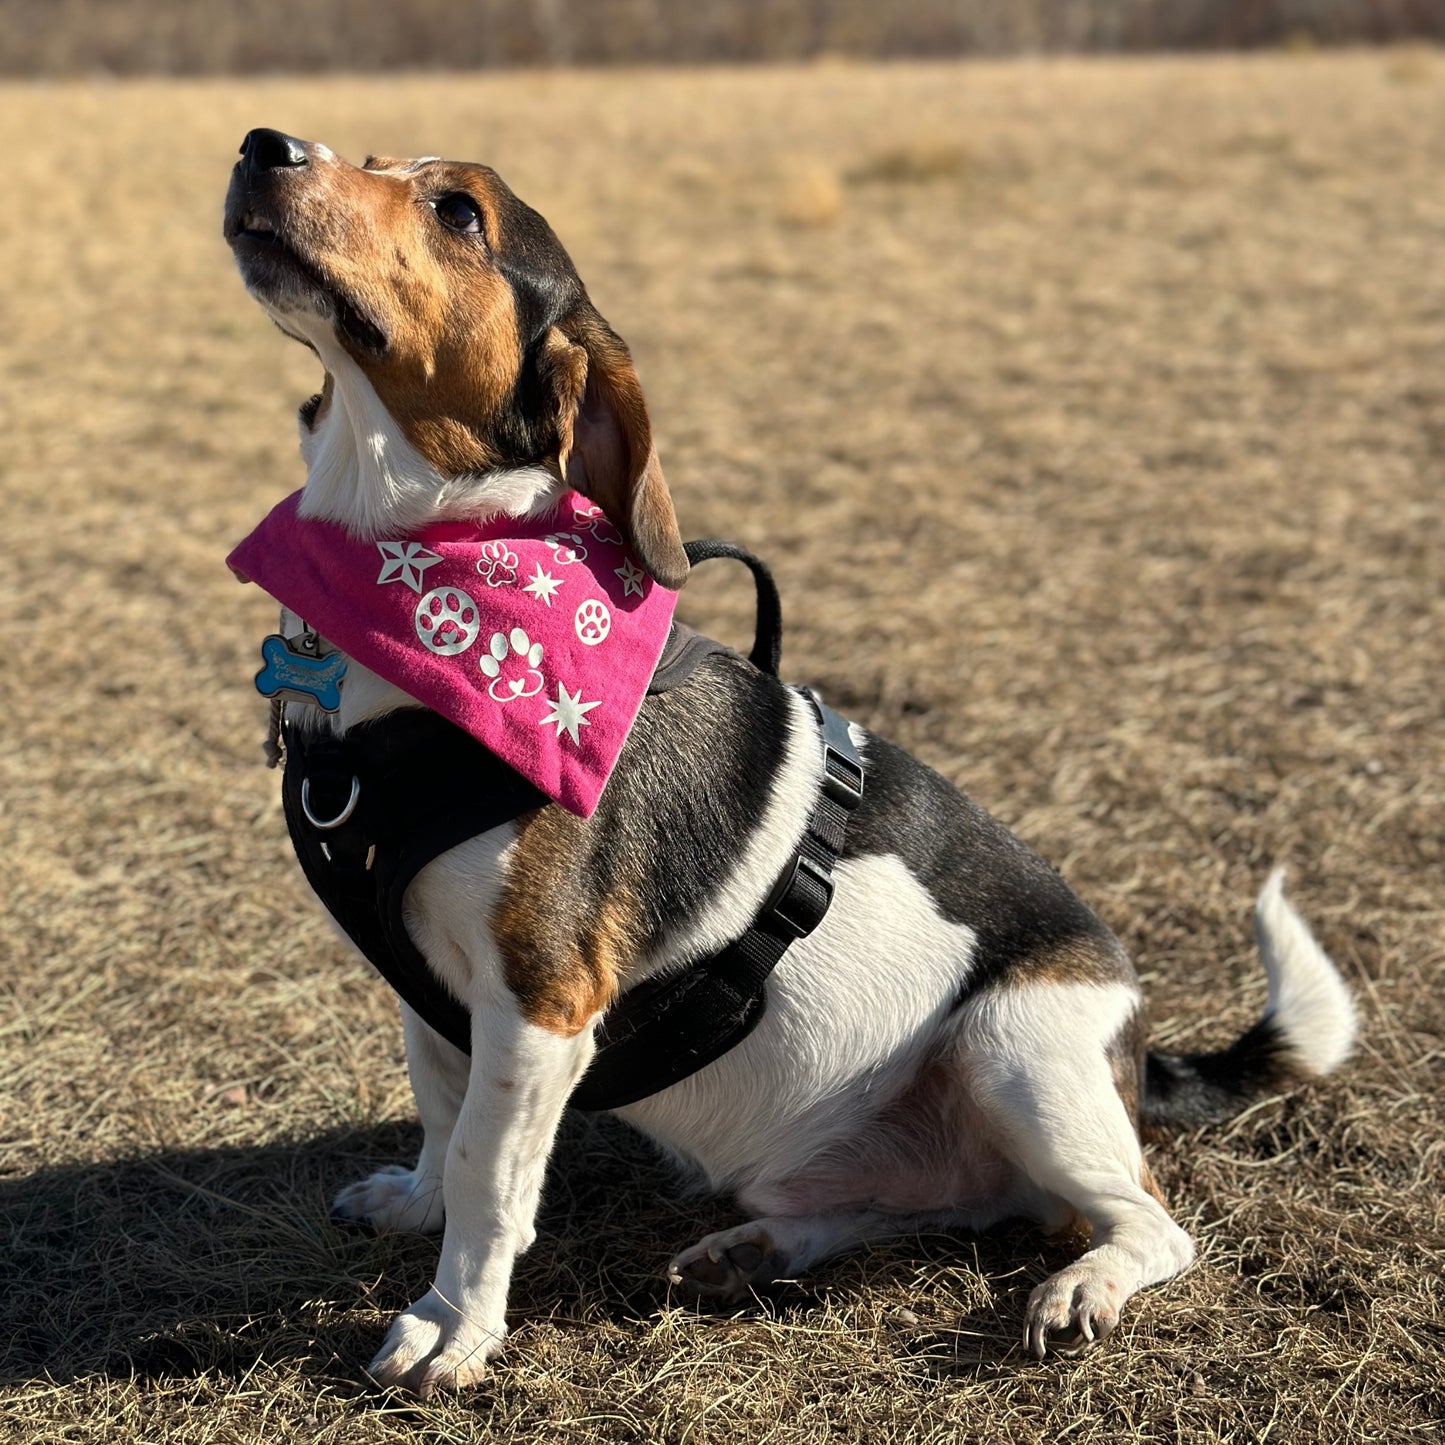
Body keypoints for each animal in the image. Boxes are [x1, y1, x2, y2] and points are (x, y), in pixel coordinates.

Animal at [222, 130, 1352, 1392]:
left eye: (456, 211)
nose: (264, 145)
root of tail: (1137, 1050)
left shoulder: (541, 999)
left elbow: (487, 1172)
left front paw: (451, 1324)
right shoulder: (433, 984)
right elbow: (437, 1107)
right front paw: (414, 1207)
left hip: (1012, 1046)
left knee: (1144, 1221)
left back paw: (1081, 1285)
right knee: (929, 1208)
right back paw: (752, 1250)